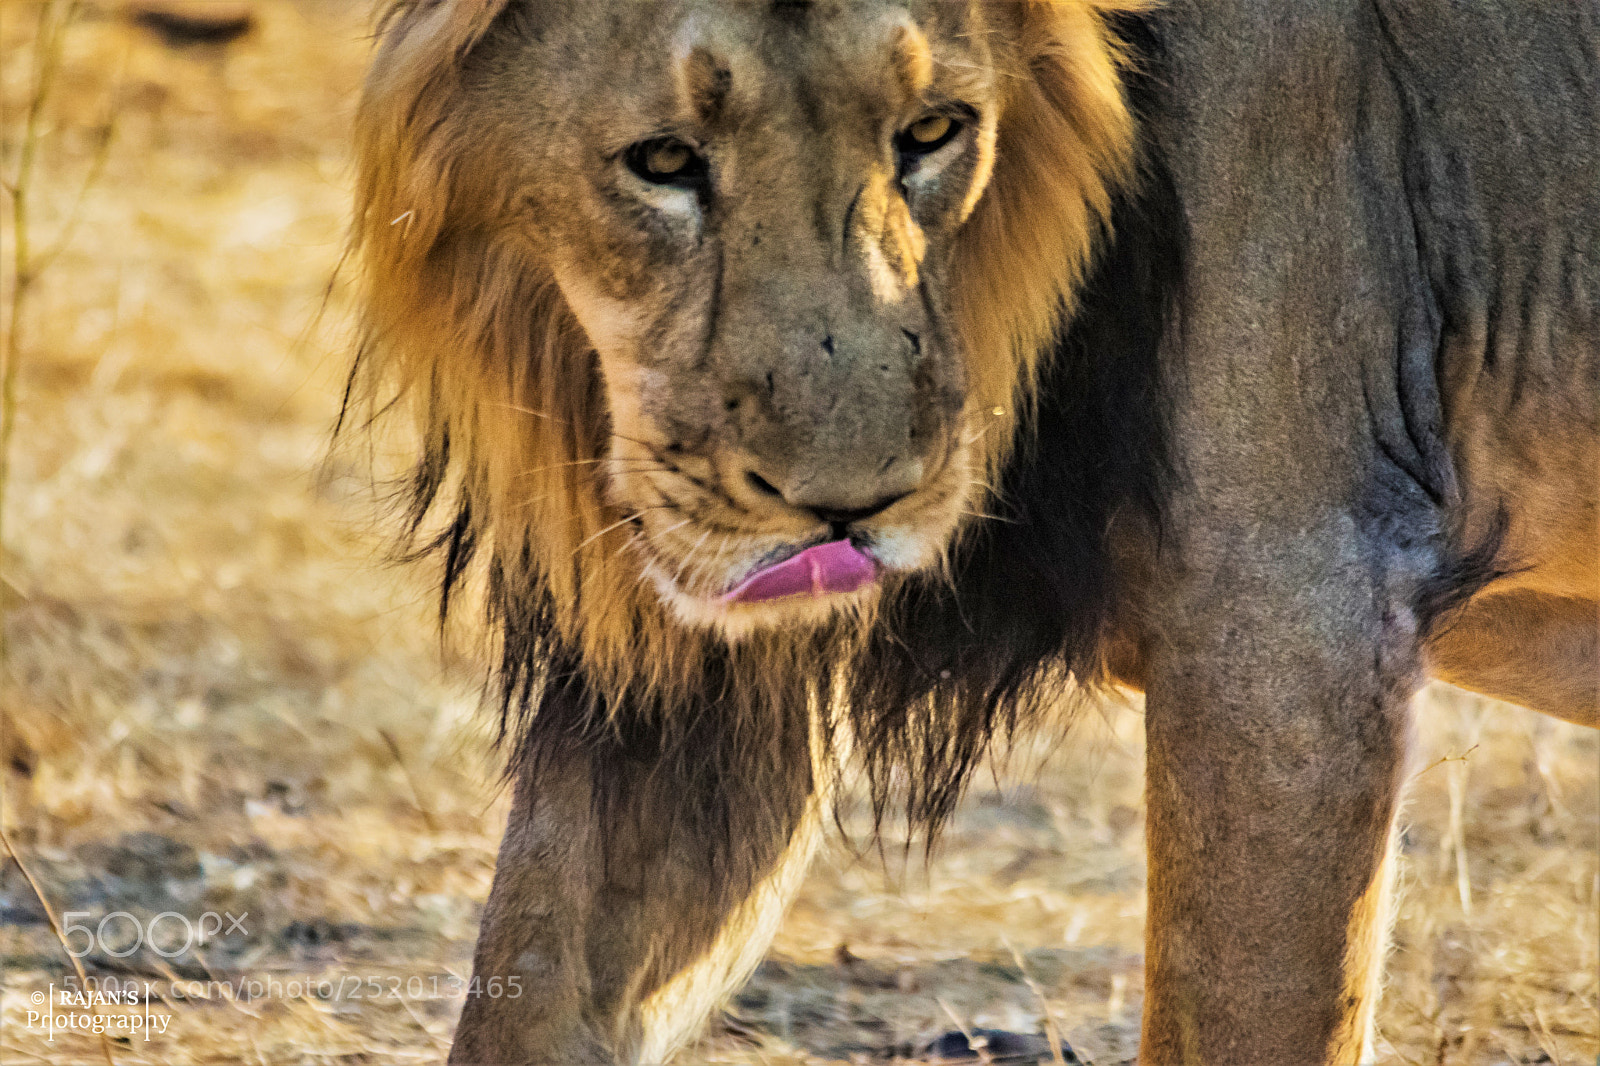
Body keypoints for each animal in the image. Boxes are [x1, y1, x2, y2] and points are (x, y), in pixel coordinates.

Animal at [345, 1, 1599, 1063]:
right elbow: (531, 986)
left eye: (932, 133)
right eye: (662, 160)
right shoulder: (688, 692)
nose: (848, 510)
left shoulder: (1299, 614)